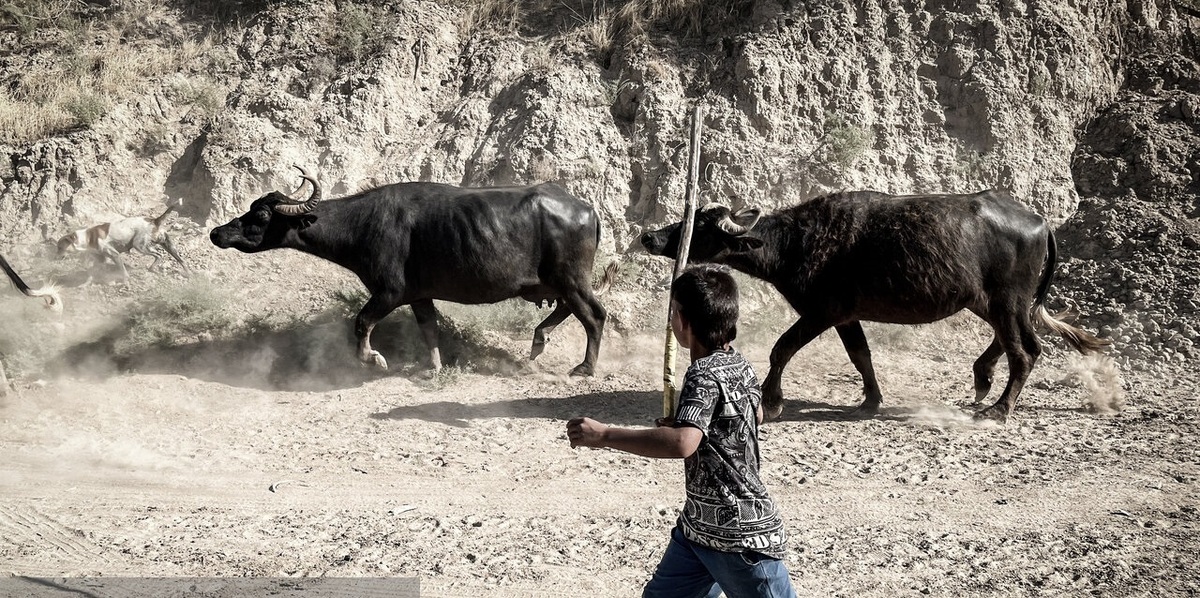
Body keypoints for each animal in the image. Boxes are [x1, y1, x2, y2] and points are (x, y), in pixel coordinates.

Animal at [210, 165, 614, 377]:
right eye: (251, 206)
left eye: (262, 215)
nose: (217, 232)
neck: (363, 224)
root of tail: (586, 209)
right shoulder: (420, 295)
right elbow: (429, 329)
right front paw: (433, 366)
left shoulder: (389, 292)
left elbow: (361, 322)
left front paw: (373, 358)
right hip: (559, 282)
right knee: (567, 309)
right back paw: (538, 341)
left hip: (572, 278)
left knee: (594, 315)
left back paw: (584, 367)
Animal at [643, 189, 1108, 422]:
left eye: (700, 225)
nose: (650, 236)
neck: (800, 241)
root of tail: (1040, 221)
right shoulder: (847, 317)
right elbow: (860, 355)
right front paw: (871, 399)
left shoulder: (822, 312)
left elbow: (781, 349)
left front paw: (773, 402)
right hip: (990, 302)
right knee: (1016, 341)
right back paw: (982, 377)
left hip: (1007, 300)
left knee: (1025, 350)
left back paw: (999, 408)